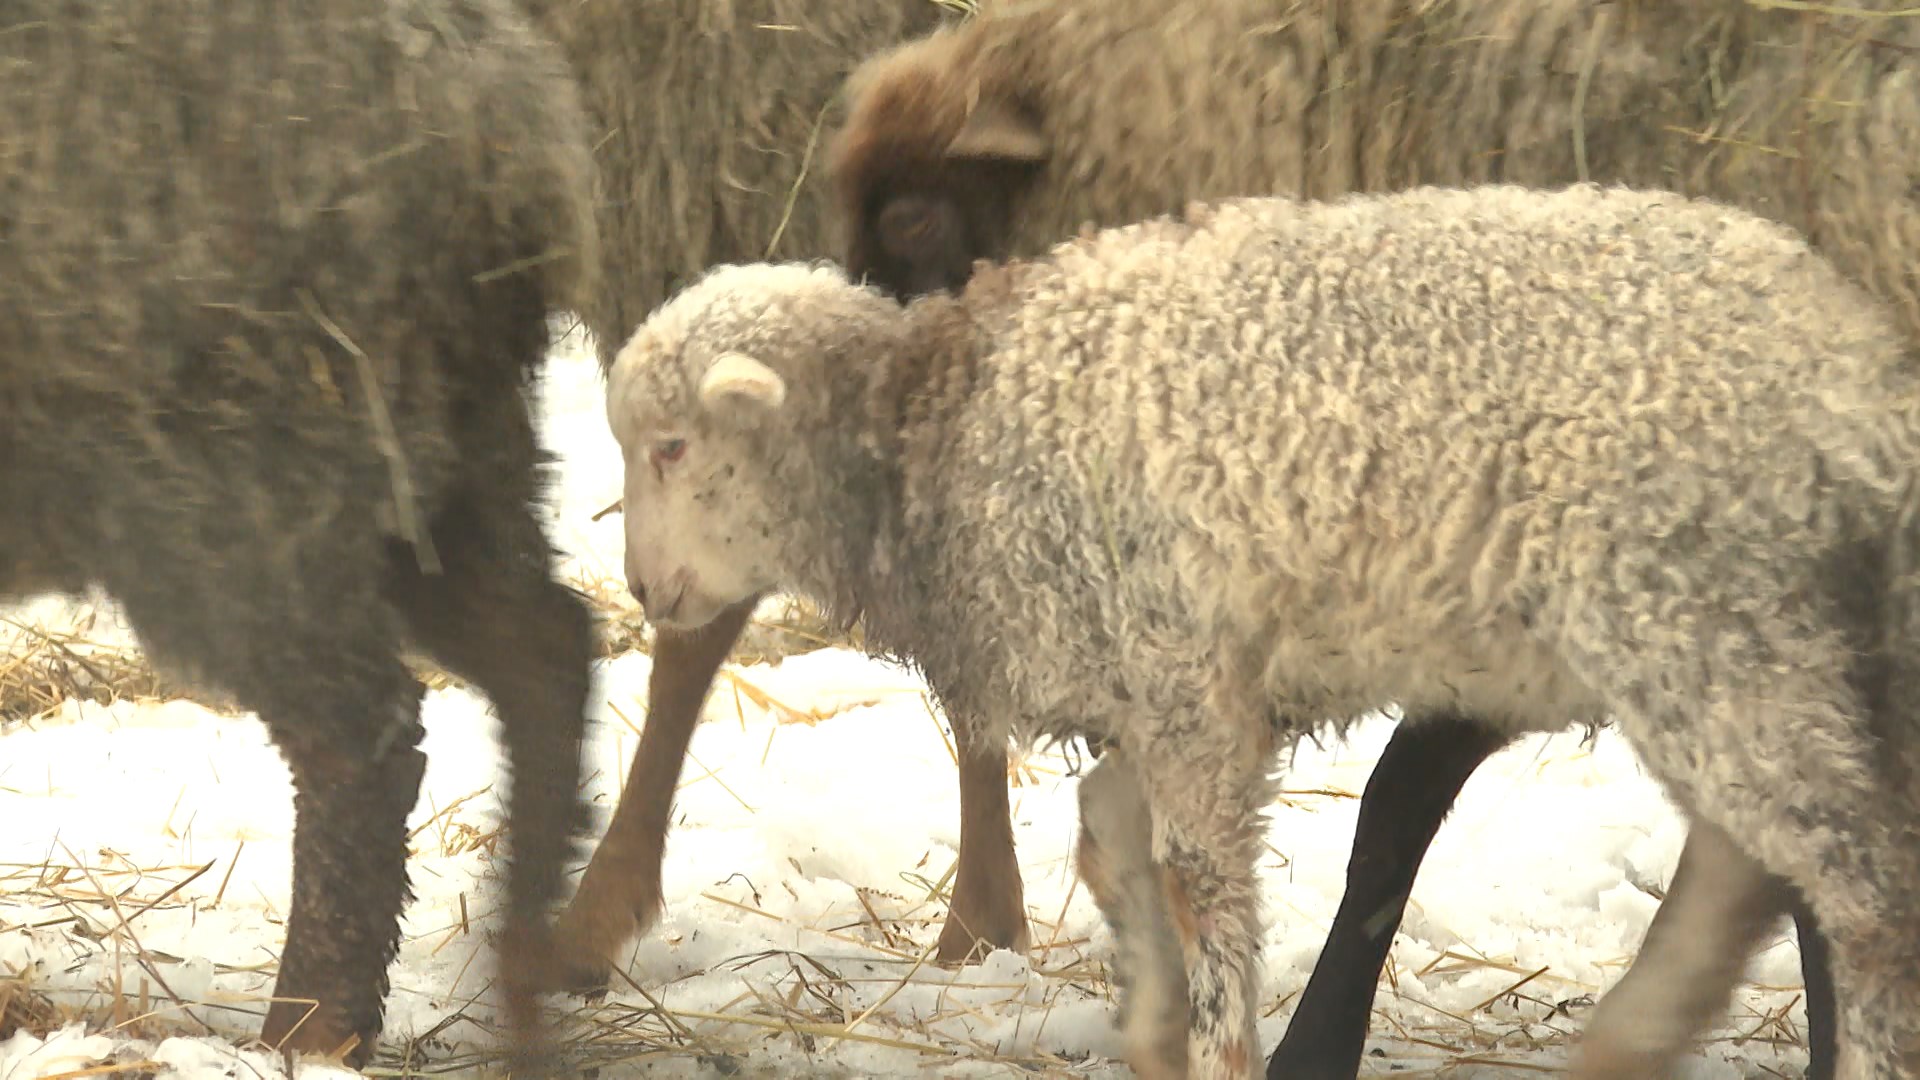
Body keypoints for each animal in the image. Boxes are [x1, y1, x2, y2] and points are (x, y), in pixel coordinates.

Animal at [606, 184, 1920, 1076]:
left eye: (672, 448)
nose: (647, 591)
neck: (945, 433)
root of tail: (1853, 376)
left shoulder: (1187, 680)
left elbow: (1202, 888)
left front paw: (1217, 1041)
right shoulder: (1153, 686)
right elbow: (1108, 840)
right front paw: (1149, 1024)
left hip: (1705, 622)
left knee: (1860, 896)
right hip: (1757, 635)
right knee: (1762, 868)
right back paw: (1635, 1033)